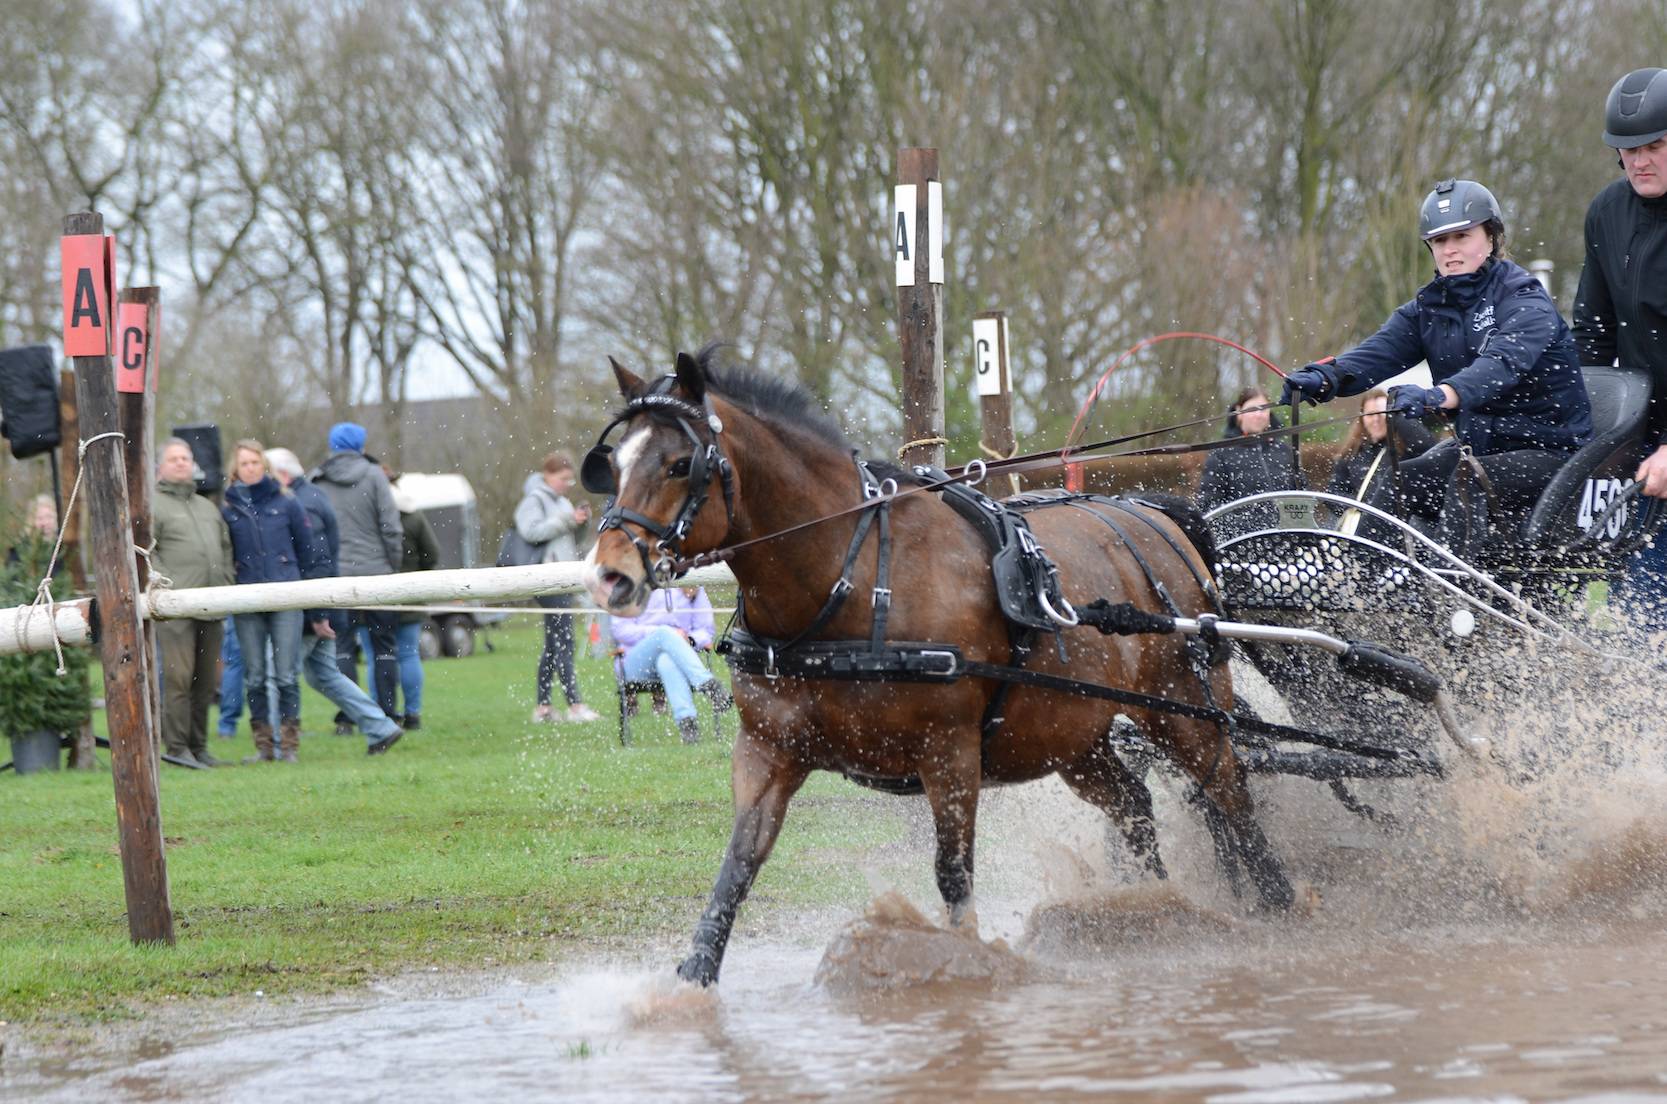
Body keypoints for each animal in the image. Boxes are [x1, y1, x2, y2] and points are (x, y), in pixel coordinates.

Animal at [582, 346, 1295, 986]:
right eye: (613, 463)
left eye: (680, 464)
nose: (609, 576)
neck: (851, 581)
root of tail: (1158, 515)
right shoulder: (768, 749)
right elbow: (736, 868)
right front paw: (689, 984)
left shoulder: (948, 752)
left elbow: (953, 875)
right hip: (1073, 736)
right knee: (1135, 807)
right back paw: (1146, 915)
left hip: (1184, 708)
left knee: (1230, 793)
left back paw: (1279, 908)